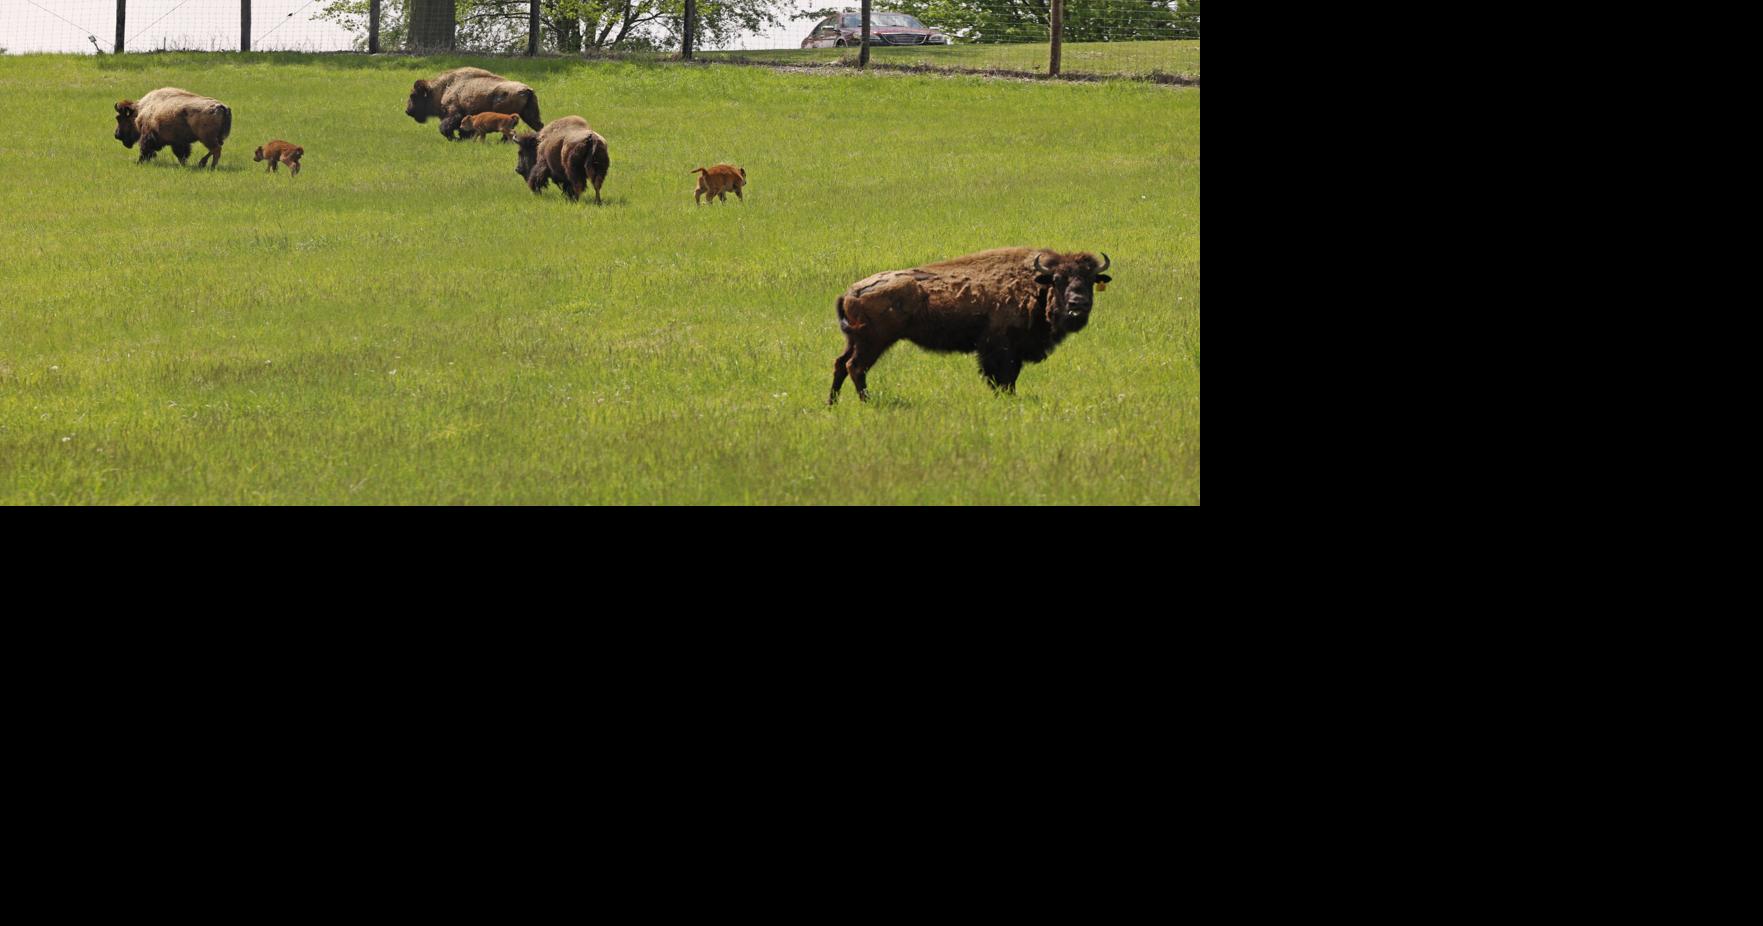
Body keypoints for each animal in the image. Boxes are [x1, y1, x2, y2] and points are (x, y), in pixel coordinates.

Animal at [406, 67, 542, 141]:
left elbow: (445, 128)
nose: (407, 111)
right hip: (530, 115)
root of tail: (527, 89)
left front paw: (455, 139)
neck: (443, 88)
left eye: (413, 95)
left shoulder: (453, 113)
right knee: (539, 126)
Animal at [828, 248, 1112, 404]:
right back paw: (866, 402)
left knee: (840, 364)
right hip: (873, 342)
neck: (1035, 285)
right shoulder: (1000, 349)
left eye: (1089, 279)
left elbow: (1009, 377)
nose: (1078, 304)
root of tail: (851, 291)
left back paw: (833, 403)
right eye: (1058, 279)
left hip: (853, 340)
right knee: (855, 367)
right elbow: (1003, 377)